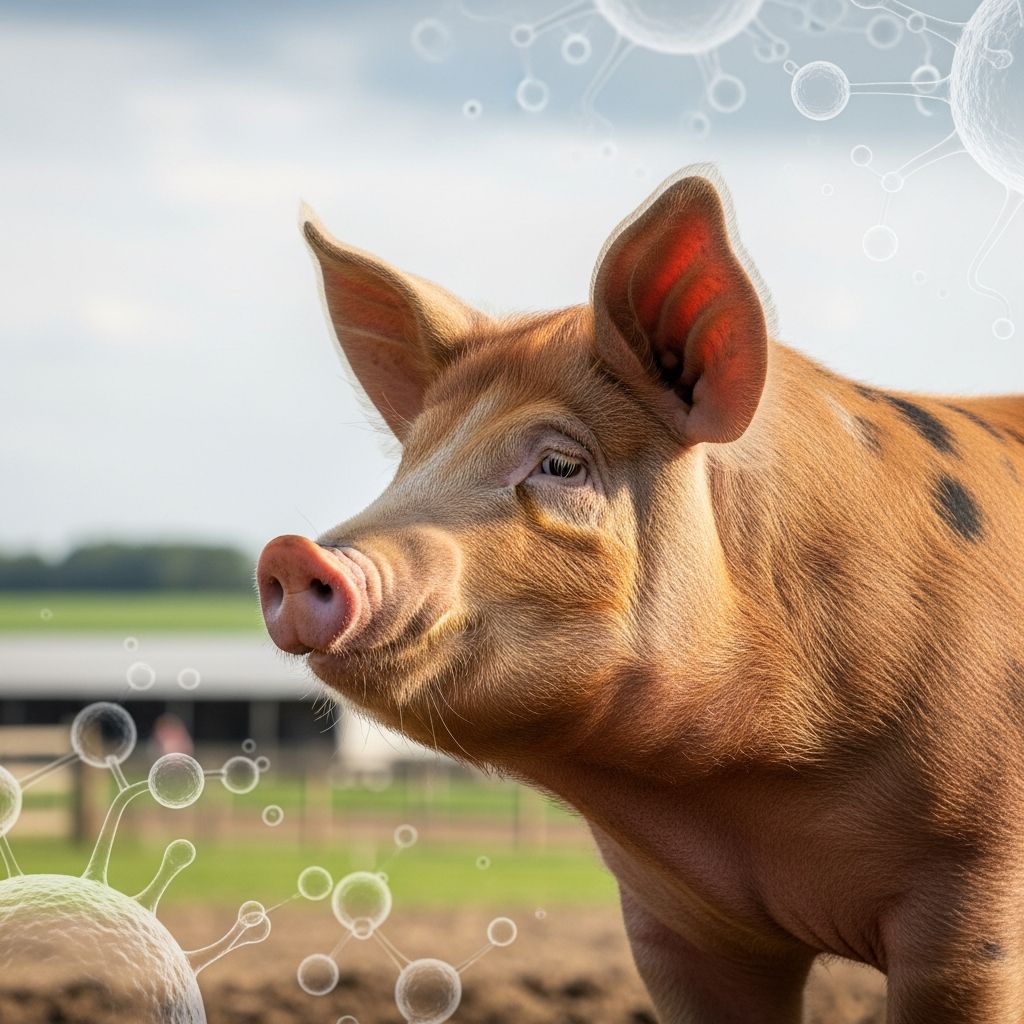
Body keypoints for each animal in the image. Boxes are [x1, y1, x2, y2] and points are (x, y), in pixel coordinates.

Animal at [257, 168, 1024, 1024]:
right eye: (413, 458)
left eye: (561, 463)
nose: (292, 551)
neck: (745, 799)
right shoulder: (677, 927)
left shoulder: (976, 891)